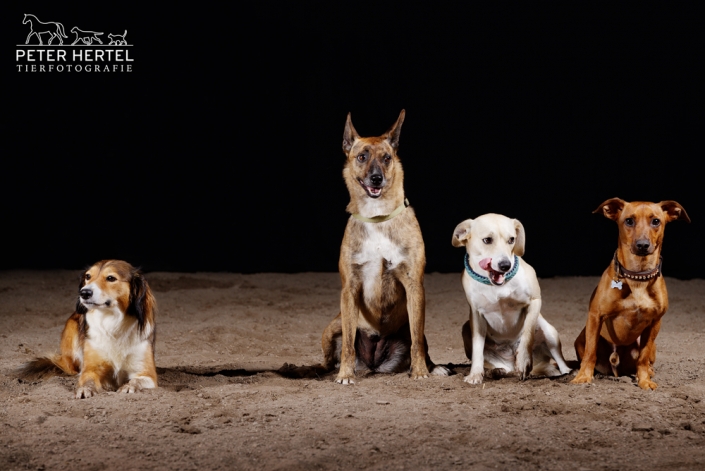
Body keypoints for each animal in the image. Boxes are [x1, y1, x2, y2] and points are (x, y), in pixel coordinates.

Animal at [17, 260, 157, 400]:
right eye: (88, 276)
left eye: (111, 278)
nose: (84, 293)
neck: (111, 323)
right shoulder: (90, 369)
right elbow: (88, 380)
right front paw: (85, 389)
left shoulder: (148, 374)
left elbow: (136, 380)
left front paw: (128, 387)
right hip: (72, 329)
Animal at [320, 110, 448, 384]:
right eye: (362, 156)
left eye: (387, 158)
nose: (376, 178)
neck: (377, 217)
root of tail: (373, 363)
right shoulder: (349, 289)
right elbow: (347, 345)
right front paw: (345, 374)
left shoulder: (414, 287)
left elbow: (417, 343)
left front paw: (420, 371)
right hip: (331, 328)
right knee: (331, 356)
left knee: (419, 341)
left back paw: (433, 367)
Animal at [452, 214, 572, 384]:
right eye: (487, 240)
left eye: (511, 239)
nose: (505, 265)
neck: (496, 286)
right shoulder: (476, 314)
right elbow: (477, 351)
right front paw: (475, 374)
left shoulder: (535, 301)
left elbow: (527, 334)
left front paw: (523, 361)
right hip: (465, 329)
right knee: (501, 368)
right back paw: (497, 371)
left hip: (550, 333)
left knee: (560, 363)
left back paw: (565, 373)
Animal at [572, 199, 688, 390]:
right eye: (629, 221)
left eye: (656, 221)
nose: (642, 245)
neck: (637, 277)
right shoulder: (595, 317)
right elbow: (590, 352)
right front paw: (583, 376)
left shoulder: (655, 323)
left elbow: (643, 358)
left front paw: (644, 380)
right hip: (581, 337)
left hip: (652, 346)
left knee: (646, 361)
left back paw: (648, 372)